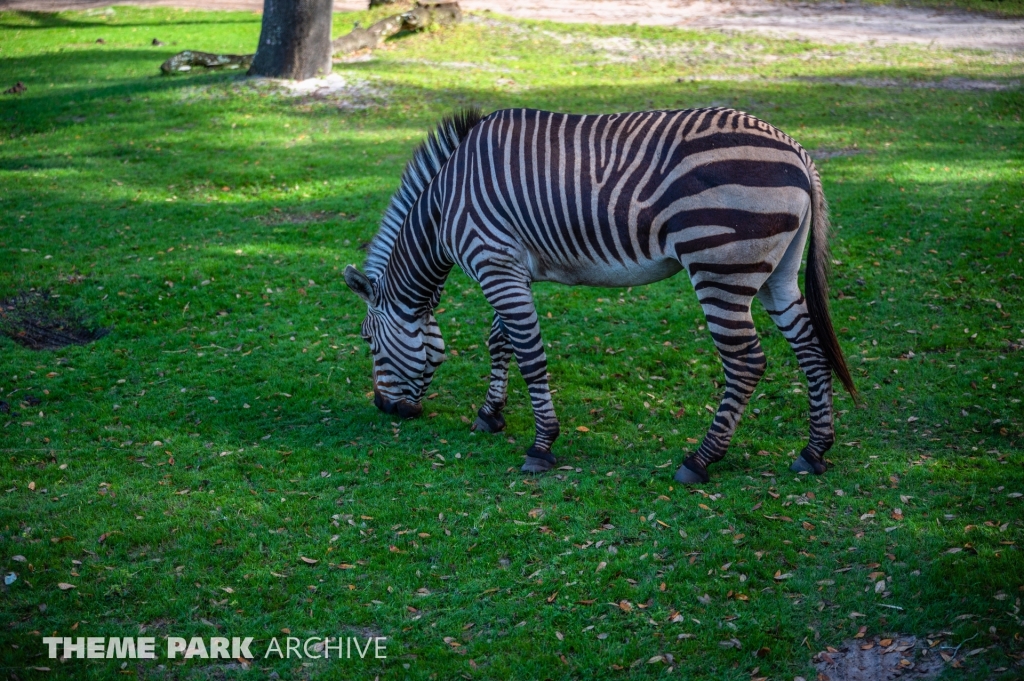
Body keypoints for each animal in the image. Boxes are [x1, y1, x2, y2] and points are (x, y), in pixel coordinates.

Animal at [344, 107, 856, 483]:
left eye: (368, 342)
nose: (384, 408)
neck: (442, 206)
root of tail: (798, 151)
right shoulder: (511, 267)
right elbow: (500, 342)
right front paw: (490, 415)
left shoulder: (493, 262)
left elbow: (529, 354)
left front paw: (541, 446)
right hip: (778, 272)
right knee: (810, 348)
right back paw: (813, 451)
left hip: (720, 267)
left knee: (746, 362)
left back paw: (700, 460)